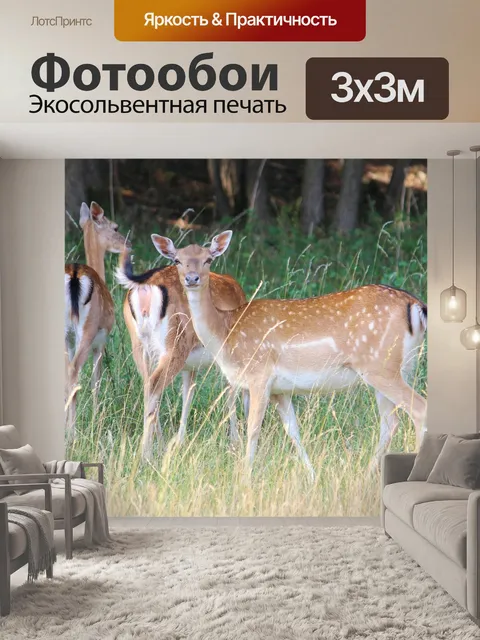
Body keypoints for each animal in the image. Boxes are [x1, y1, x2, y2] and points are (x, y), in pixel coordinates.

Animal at [65, 201, 130, 440]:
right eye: (115, 227)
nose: (128, 243)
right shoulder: (102, 340)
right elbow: (96, 382)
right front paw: (96, 420)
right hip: (88, 328)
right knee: (74, 371)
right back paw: (73, 433)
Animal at [115, 243, 248, 460]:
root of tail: (145, 289)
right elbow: (232, 393)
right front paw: (235, 441)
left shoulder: (190, 367)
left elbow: (188, 394)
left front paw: (181, 441)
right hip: (174, 346)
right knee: (154, 385)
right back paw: (146, 454)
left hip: (140, 346)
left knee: (148, 386)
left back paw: (159, 446)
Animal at [151, 230, 428, 482]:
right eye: (178, 260)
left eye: (208, 259)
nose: (192, 278)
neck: (227, 332)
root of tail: (417, 306)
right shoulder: (280, 390)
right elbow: (293, 430)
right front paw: (313, 477)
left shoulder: (259, 375)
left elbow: (253, 429)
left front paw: (244, 480)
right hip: (399, 367)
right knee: (390, 423)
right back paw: (366, 476)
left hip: (381, 367)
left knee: (419, 410)